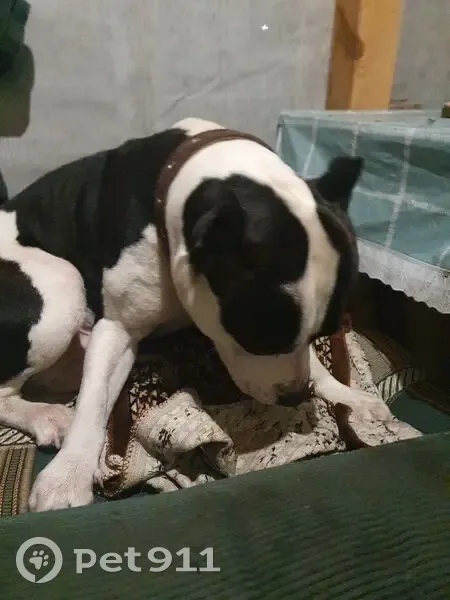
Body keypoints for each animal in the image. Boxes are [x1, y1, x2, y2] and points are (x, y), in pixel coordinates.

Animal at [0, 118, 394, 512]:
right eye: (258, 339)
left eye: (324, 331)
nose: (295, 396)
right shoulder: (118, 329)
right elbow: (93, 403)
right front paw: (68, 475)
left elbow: (313, 361)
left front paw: (345, 394)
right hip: (62, 284)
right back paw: (46, 415)